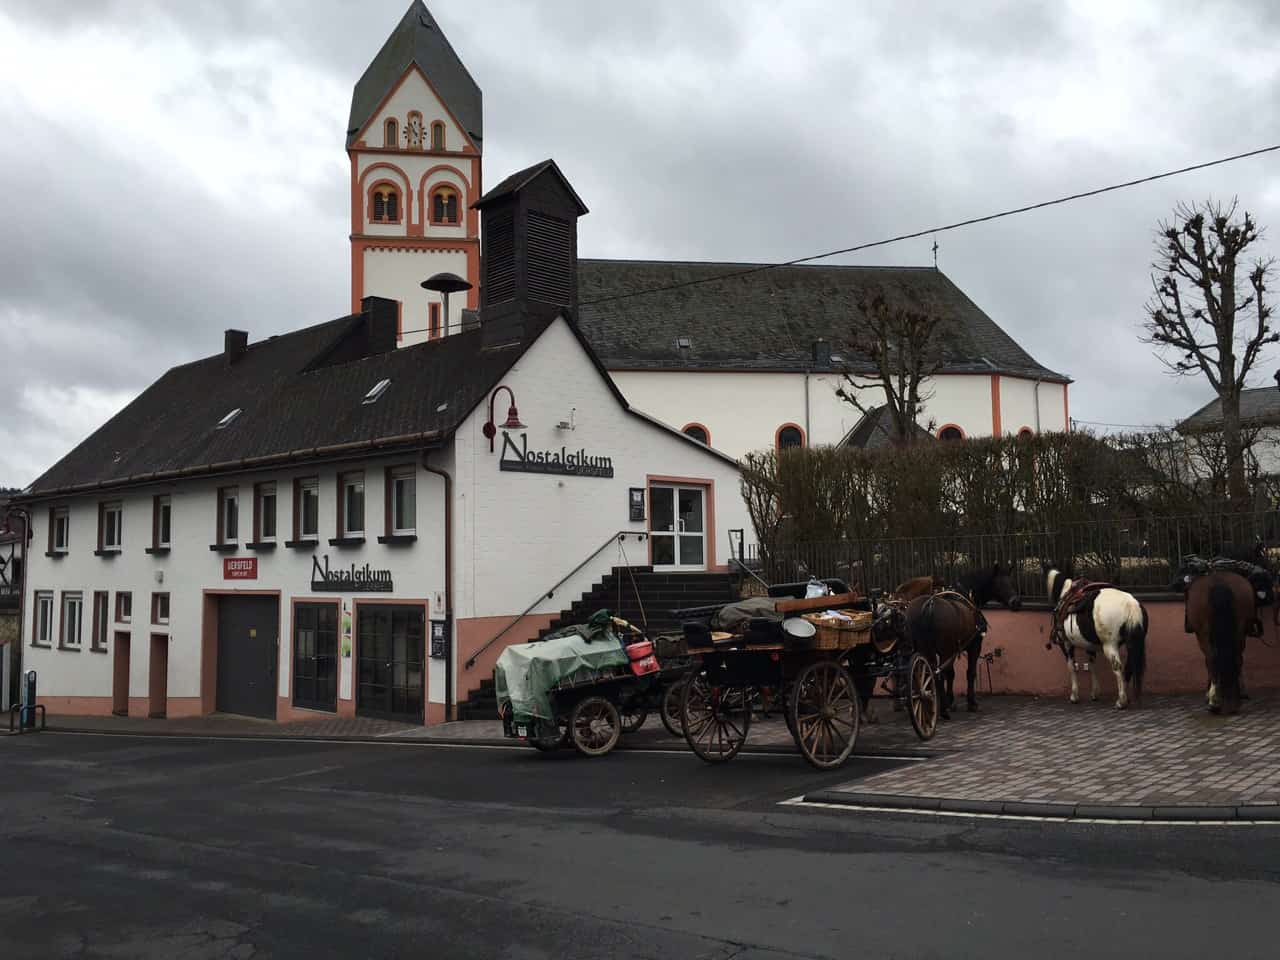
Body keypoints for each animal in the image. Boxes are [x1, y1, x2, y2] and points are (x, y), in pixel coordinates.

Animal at [1044, 563, 1146, 706]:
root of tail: (1131, 604)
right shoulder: (1089, 646)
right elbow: (1092, 665)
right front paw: (1094, 693)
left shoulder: (1066, 644)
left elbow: (1071, 667)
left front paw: (1074, 695)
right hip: (1132, 644)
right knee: (1129, 667)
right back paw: (1126, 697)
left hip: (1110, 645)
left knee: (1117, 667)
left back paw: (1121, 701)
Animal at [1182, 570, 1254, 716]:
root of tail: (1219, 582)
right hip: (1239, 630)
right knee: (1237, 657)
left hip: (1203, 634)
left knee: (1211, 659)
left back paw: (1214, 702)